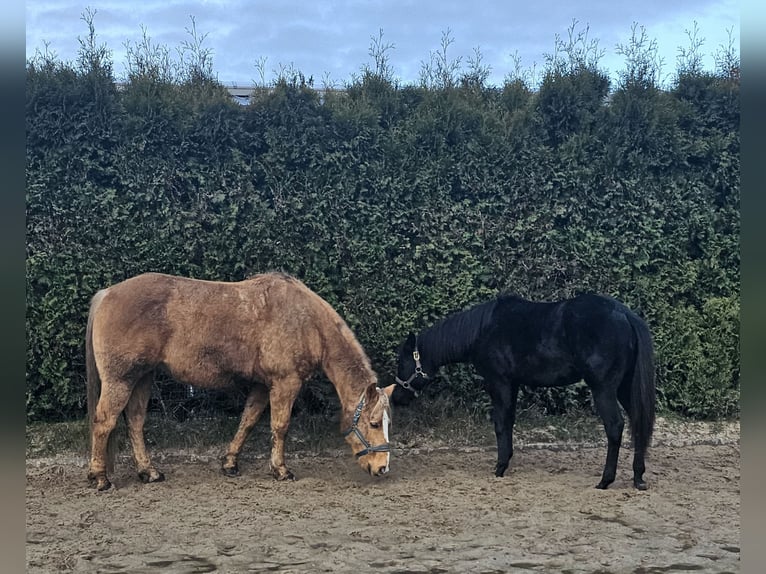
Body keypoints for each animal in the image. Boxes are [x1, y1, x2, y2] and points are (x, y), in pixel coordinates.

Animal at [86, 271, 395, 491]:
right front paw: (281, 470)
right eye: (373, 423)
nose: (382, 467)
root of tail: (107, 293)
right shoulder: (286, 383)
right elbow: (280, 427)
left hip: (142, 377)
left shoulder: (262, 385)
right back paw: (101, 478)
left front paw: (230, 464)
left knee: (136, 422)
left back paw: (148, 472)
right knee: (104, 422)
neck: (305, 321)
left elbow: (248, 420)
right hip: (121, 379)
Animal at [394, 293, 656, 490]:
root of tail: (624, 314)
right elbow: (509, 421)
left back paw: (605, 480)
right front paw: (506, 460)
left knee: (615, 426)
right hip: (624, 388)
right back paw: (638, 477)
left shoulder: (499, 382)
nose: (396, 397)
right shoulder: (513, 384)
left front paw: (499, 467)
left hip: (603, 389)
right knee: (638, 423)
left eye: (403, 361)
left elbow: (500, 423)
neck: (482, 330)